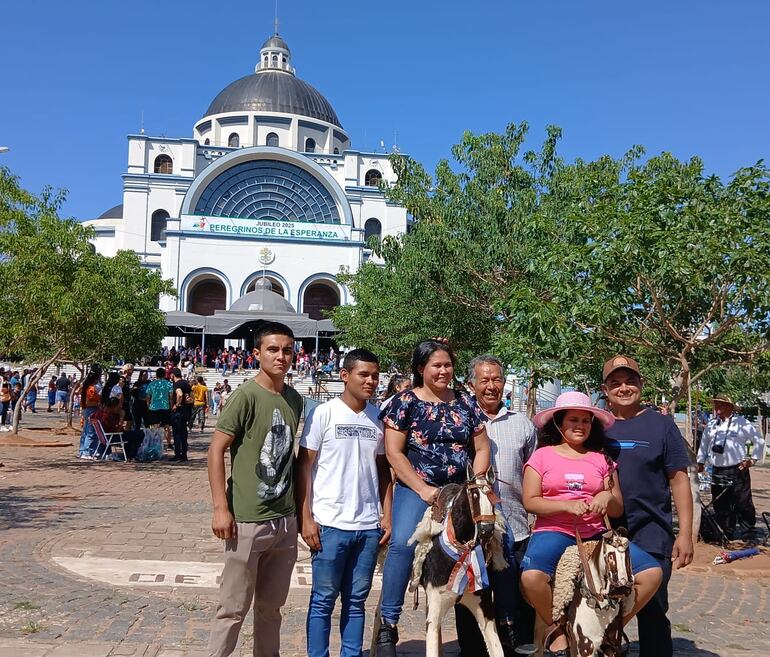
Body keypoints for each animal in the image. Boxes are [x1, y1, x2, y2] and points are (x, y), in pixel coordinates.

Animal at [404, 464, 508, 656]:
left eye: (493, 497)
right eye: (474, 495)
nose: (486, 530)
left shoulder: (484, 607)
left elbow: (497, 649)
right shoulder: (435, 608)